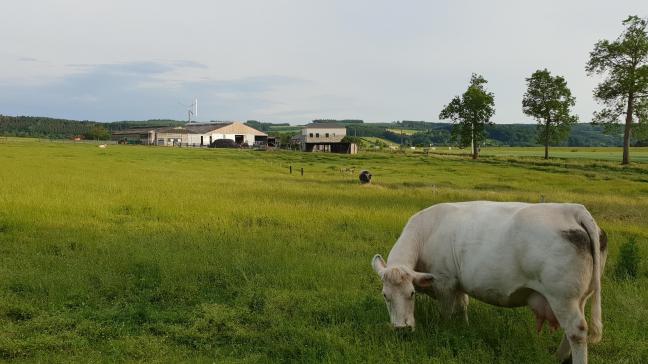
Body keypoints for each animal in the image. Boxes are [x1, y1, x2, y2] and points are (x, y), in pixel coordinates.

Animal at [372, 200, 612, 364]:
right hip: (578, 297)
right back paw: (557, 357)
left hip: (562, 297)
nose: (401, 329)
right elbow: (462, 306)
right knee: (569, 331)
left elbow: (446, 314)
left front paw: (446, 331)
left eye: (411, 293)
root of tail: (572, 210)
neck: (427, 232)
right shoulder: (459, 283)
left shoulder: (445, 283)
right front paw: (464, 327)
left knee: (577, 331)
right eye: (385, 296)